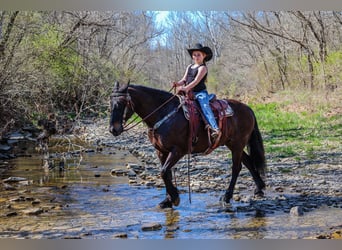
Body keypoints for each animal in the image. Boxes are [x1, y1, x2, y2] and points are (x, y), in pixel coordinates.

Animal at [108, 82, 266, 209]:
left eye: (122, 103)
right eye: (110, 103)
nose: (113, 129)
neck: (164, 114)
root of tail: (248, 109)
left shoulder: (178, 151)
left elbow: (163, 172)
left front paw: (175, 198)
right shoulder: (161, 151)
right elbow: (166, 174)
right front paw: (167, 200)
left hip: (238, 144)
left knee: (236, 168)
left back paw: (227, 197)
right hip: (232, 144)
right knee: (248, 162)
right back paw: (259, 189)